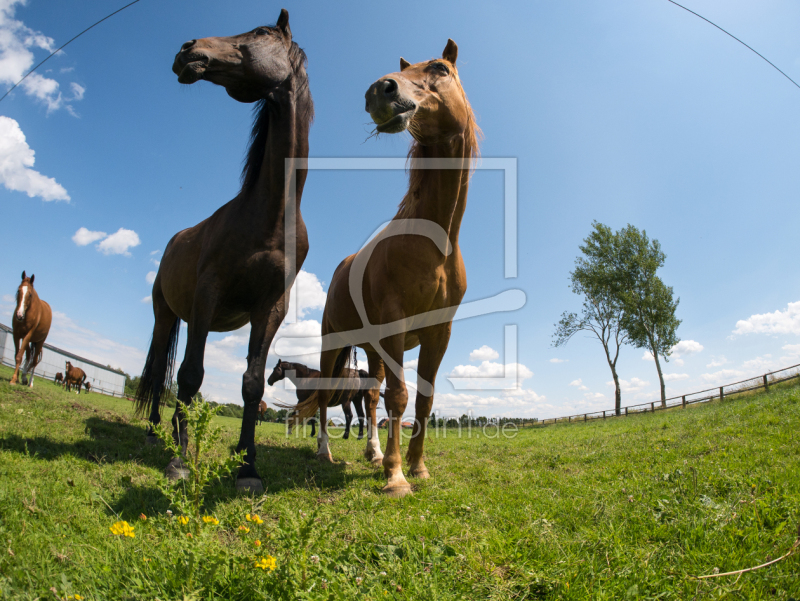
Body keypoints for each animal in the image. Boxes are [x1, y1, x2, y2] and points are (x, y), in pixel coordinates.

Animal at [134, 8, 312, 492]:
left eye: (262, 33)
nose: (187, 49)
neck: (270, 217)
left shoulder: (270, 309)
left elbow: (252, 384)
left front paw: (247, 466)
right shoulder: (208, 294)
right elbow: (190, 375)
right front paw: (179, 463)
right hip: (168, 315)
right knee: (161, 372)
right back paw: (158, 434)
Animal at [290, 38, 482, 496]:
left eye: (440, 68)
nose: (380, 90)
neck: (435, 245)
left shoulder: (438, 333)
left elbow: (423, 399)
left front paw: (416, 466)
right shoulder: (395, 326)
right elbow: (400, 397)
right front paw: (396, 477)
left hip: (373, 351)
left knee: (373, 397)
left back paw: (373, 453)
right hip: (333, 344)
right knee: (328, 397)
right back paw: (326, 453)